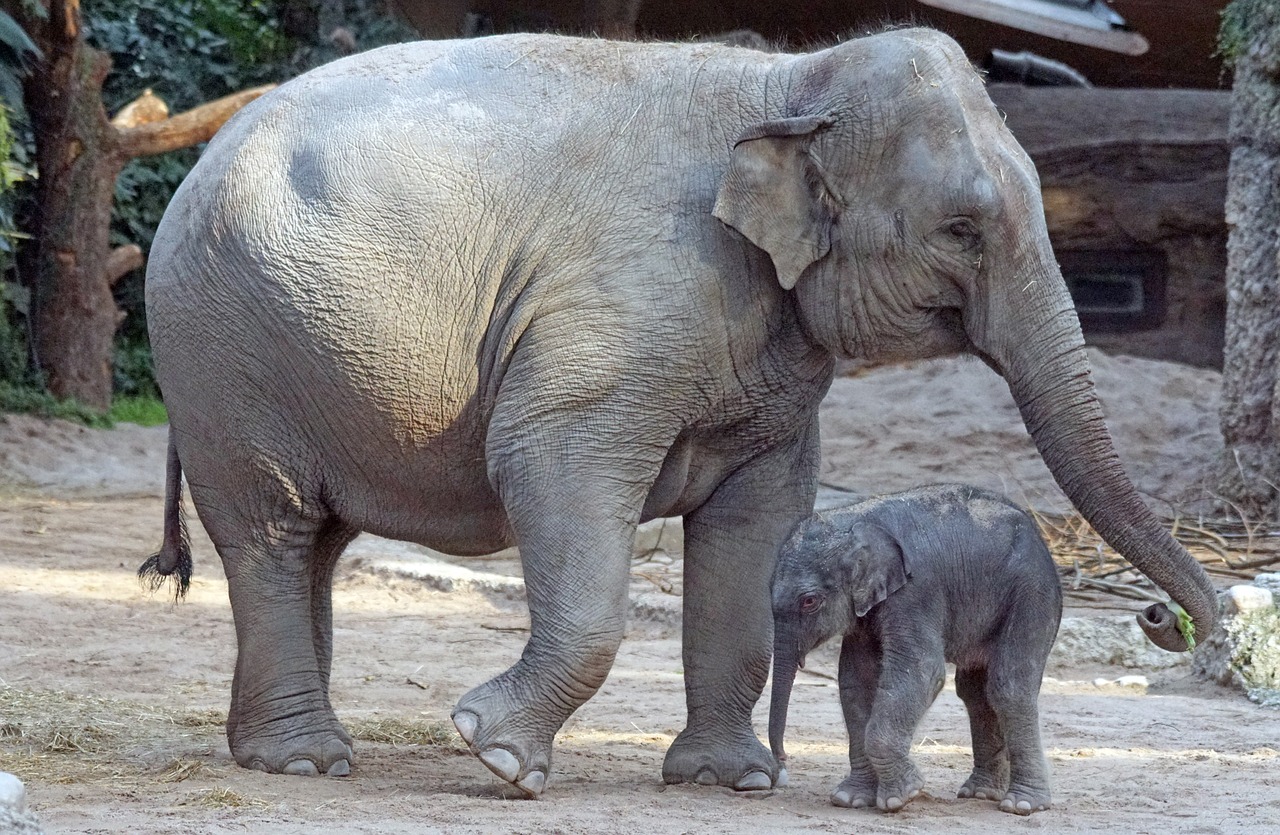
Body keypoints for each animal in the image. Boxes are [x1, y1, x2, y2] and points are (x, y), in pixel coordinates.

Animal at [768, 481, 1059, 814]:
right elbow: (856, 682)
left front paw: (901, 797)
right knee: (975, 691)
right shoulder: (867, 609)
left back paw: (1021, 804)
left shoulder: (916, 591)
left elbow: (923, 671)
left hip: (1031, 592)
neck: (853, 519)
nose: (783, 764)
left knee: (1009, 686)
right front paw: (850, 799)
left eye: (809, 601)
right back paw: (980, 793)